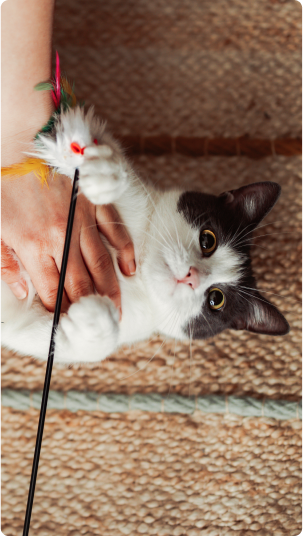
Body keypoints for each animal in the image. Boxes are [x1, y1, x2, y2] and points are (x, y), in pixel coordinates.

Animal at [0, 105, 290, 364]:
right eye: (208, 239)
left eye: (216, 300)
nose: (191, 276)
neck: (140, 273)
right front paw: (98, 167)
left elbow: (41, 335)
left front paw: (92, 319)